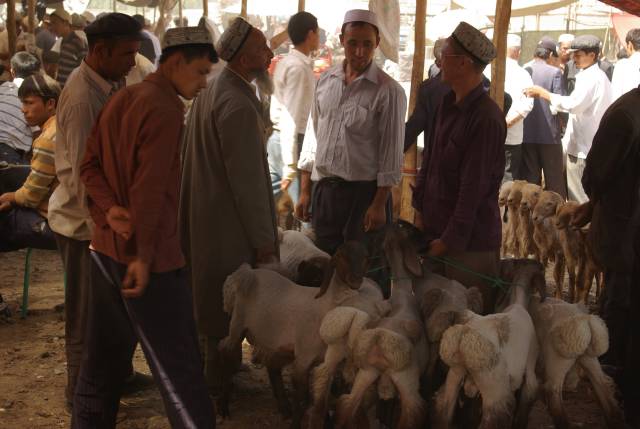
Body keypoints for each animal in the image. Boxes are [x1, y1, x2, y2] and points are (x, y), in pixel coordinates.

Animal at [219, 239, 370, 426]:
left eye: (365, 257)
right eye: (342, 256)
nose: (355, 281)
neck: (325, 306)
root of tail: (246, 273)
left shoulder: (326, 363)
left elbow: (322, 401)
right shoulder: (303, 358)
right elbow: (303, 399)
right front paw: (297, 423)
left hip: (274, 342)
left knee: (270, 366)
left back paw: (283, 408)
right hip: (237, 324)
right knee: (226, 353)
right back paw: (223, 407)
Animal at [332, 221, 428, 428]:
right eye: (410, 230)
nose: (428, 241)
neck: (402, 294)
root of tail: (378, 340)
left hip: (366, 373)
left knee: (347, 404)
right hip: (406, 379)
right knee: (411, 415)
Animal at [432, 258, 544, 428]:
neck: (518, 303)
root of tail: (463, 334)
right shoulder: (530, 367)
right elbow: (529, 394)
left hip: (456, 372)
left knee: (443, 406)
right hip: (495, 390)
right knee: (491, 420)